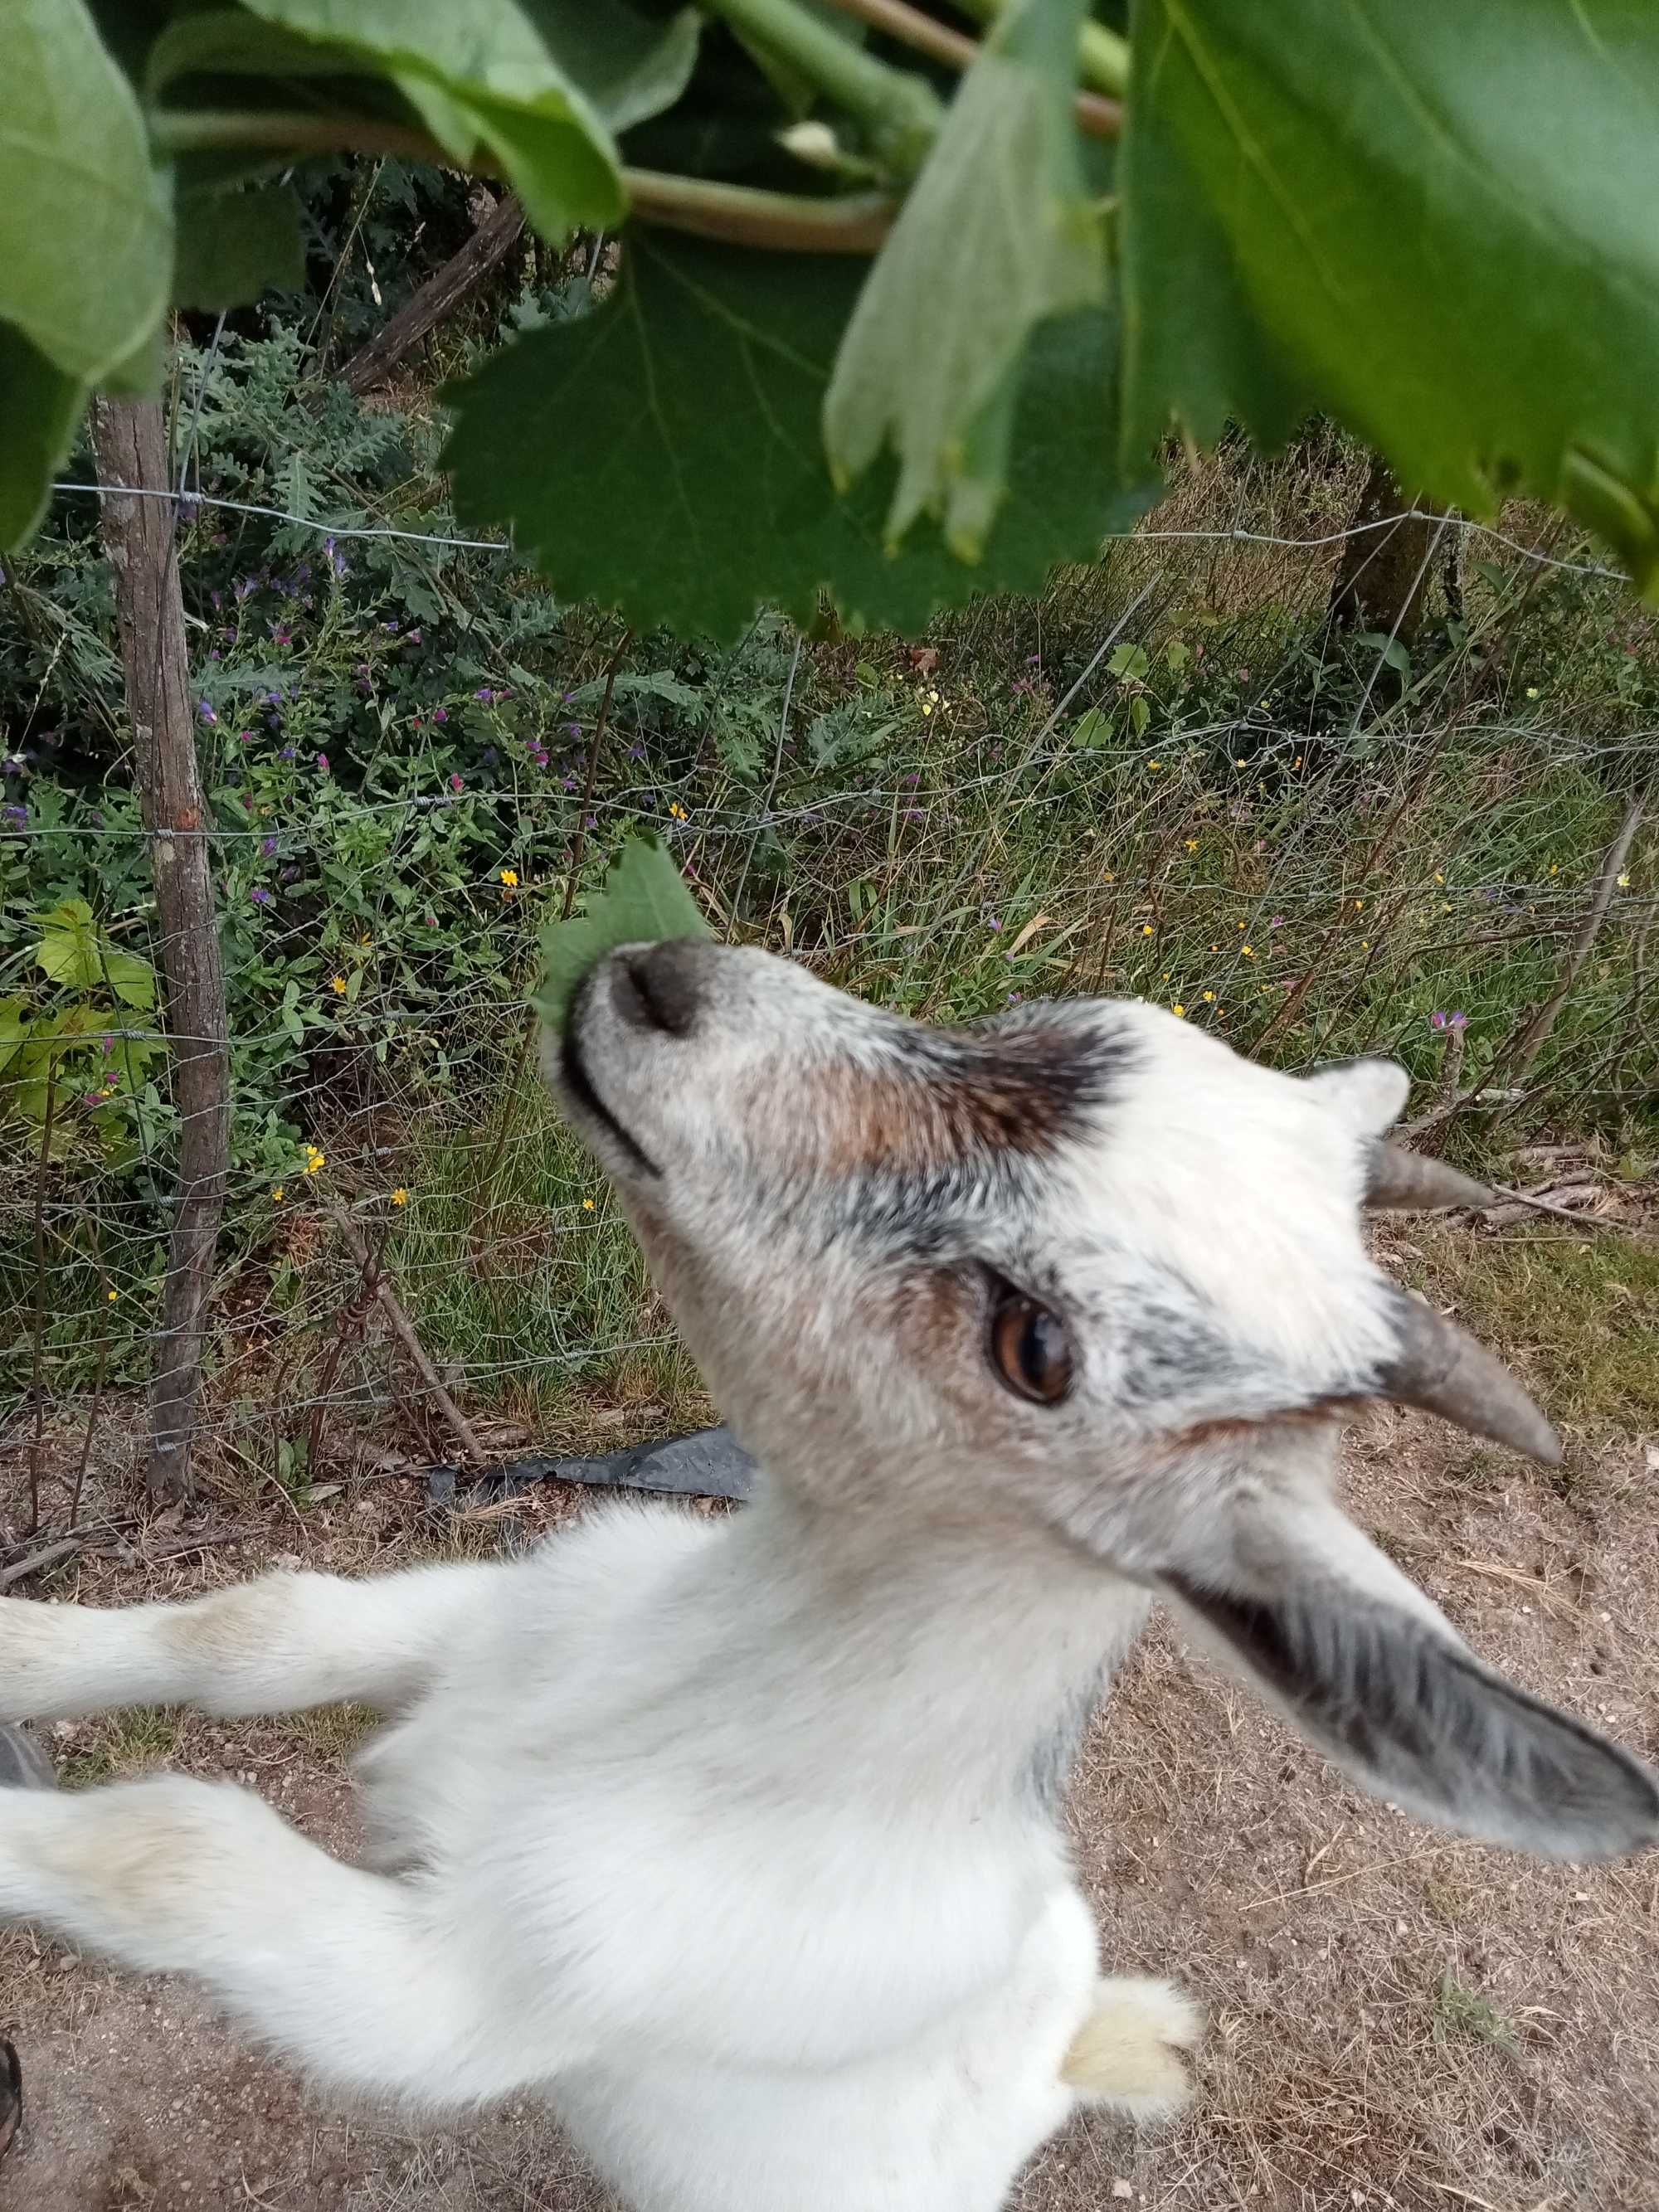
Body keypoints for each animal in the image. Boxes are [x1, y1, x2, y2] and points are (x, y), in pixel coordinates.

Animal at [2, 942, 1659, 2203]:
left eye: (1036, 1345)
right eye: (1067, 1024)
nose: (662, 982)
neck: (670, 1724)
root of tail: (1060, 2061)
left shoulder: (471, 1995)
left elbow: (172, 1849)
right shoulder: (500, 1608)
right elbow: (259, 1625)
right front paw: (21, 1641)